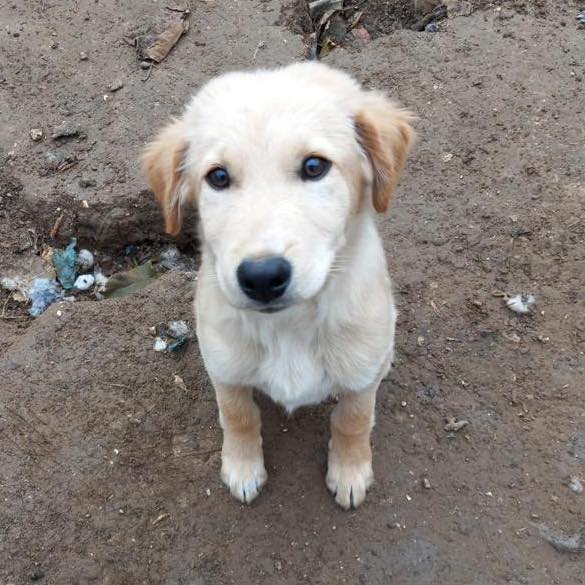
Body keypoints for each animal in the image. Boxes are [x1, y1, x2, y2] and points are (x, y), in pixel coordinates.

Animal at [144, 60, 412, 506]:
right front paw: (242, 467)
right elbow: (238, 416)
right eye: (218, 176)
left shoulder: (360, 373)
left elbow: (353, 419)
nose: (263, 276)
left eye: (314, 167)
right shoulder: (224, 367)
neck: (289, 325)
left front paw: (350, 471)